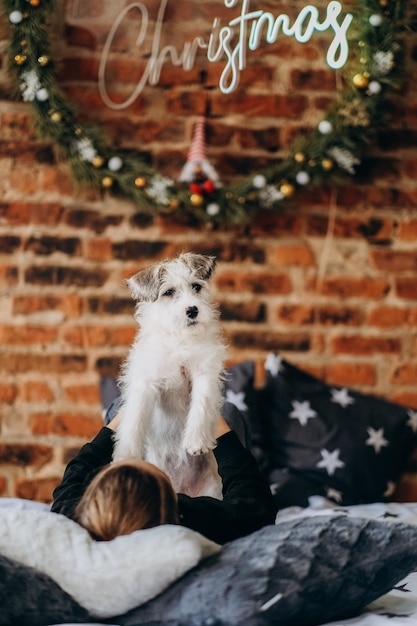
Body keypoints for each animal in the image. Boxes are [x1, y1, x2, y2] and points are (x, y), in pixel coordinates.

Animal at [112, 250, 226, 498]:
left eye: (196, 287)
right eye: (169, 292)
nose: (192, 310)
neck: (179, 339)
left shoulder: (204, 372)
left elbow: (201, 405)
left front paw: (195, 440)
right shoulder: (145, 383)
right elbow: (134, 419)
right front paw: (126, 456)